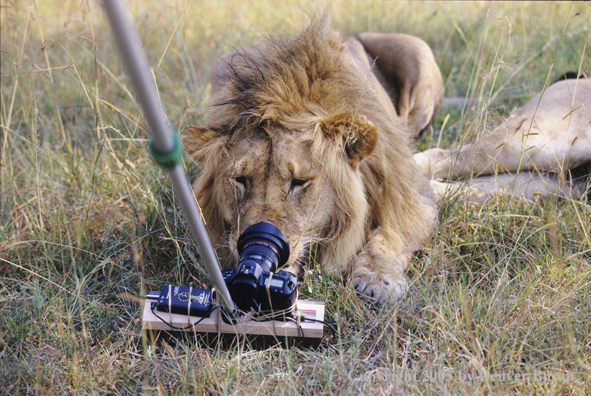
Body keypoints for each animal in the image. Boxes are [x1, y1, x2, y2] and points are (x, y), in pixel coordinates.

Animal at [183, 17, 446, 304]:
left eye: (299, 182)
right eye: (240, 180)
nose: (254, 242)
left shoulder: (415, 194)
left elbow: (390, 234)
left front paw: (375, 278)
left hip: (418, 54)